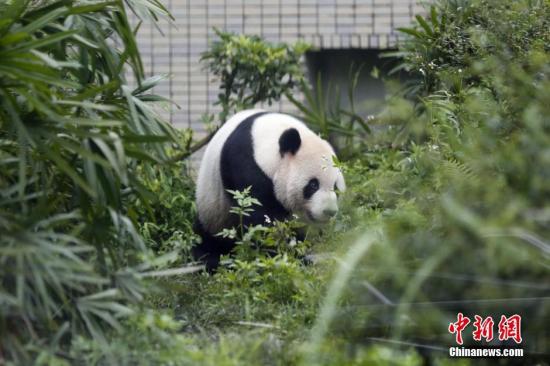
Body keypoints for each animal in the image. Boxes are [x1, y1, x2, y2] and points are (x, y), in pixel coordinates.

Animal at [194, 108, 344, 268]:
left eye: (336, 187)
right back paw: (210, 258)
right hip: (212, 206)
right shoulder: (245, 165)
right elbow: (260, 221)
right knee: (208, 238)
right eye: (313, 185)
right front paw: (286, 257)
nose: (329, 211)